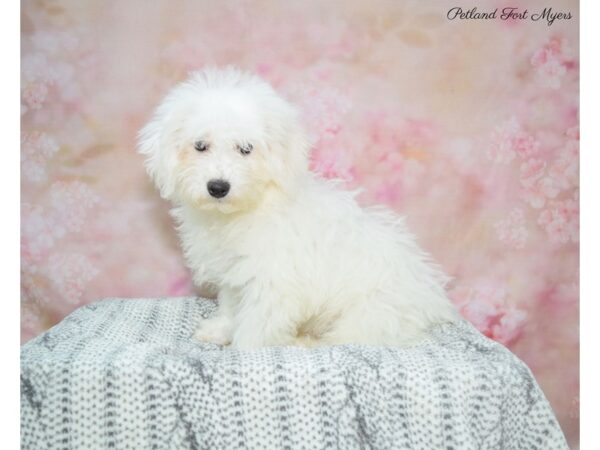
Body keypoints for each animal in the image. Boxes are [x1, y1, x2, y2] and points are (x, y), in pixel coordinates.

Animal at [138, 67, 458, 350]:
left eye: (246, 149)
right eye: (200, 145)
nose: (218, 186)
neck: (251, 208)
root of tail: (432, 301)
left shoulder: (274, 282)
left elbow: (255, 326)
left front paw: (241, 349)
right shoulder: (235, 272)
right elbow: (232, 306)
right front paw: (220, 330)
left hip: (369, 315)